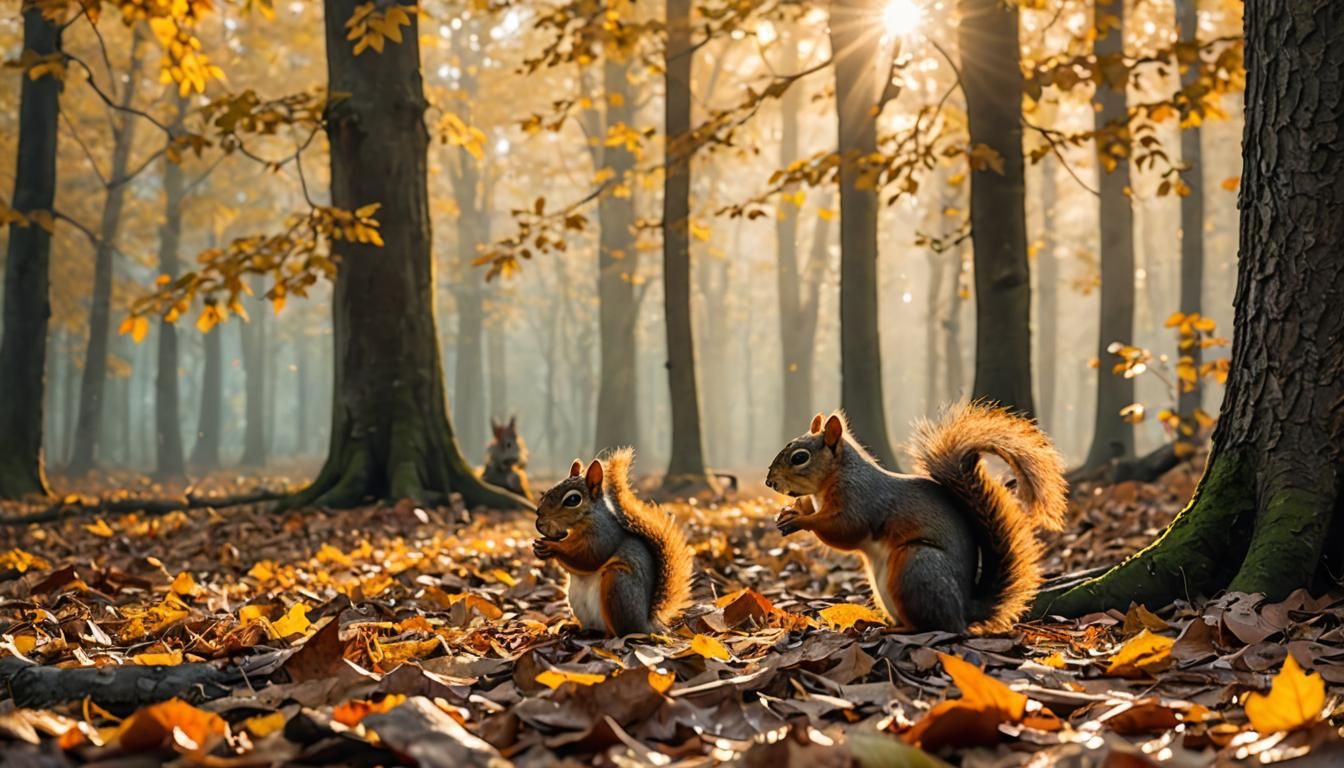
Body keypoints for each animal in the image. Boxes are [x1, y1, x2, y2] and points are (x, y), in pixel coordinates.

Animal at [532, 449, 694, 636]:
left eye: (572, 500)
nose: (539, 513)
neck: (584, 521)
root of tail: (645, 625)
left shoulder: (604, 536)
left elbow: (588, 558)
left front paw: (552, 547)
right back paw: (576, 628)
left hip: (617, 584)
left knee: (621, 630)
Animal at [765, 402, 1067, 634]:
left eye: (800, 457)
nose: (769, 482)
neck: (834, 477)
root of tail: (963, 609)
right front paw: (792, 511)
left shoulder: (861, 500)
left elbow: (843, 530)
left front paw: (802, 521)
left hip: (915, 565)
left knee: (931, 625)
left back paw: (894, 629)